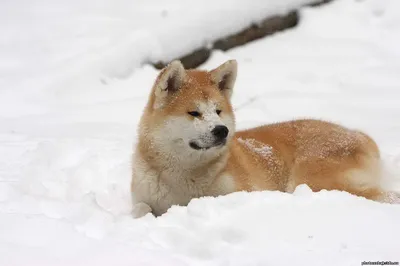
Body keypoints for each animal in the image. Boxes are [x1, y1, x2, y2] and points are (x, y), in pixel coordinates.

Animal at [132, 59, 396, 217]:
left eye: (218, 111)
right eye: (194, 113)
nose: (221, 130)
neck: (183, 177)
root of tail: (360, 135)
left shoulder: (246, 191)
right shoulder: (144, 198)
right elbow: (141, 209)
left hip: (309, 180)